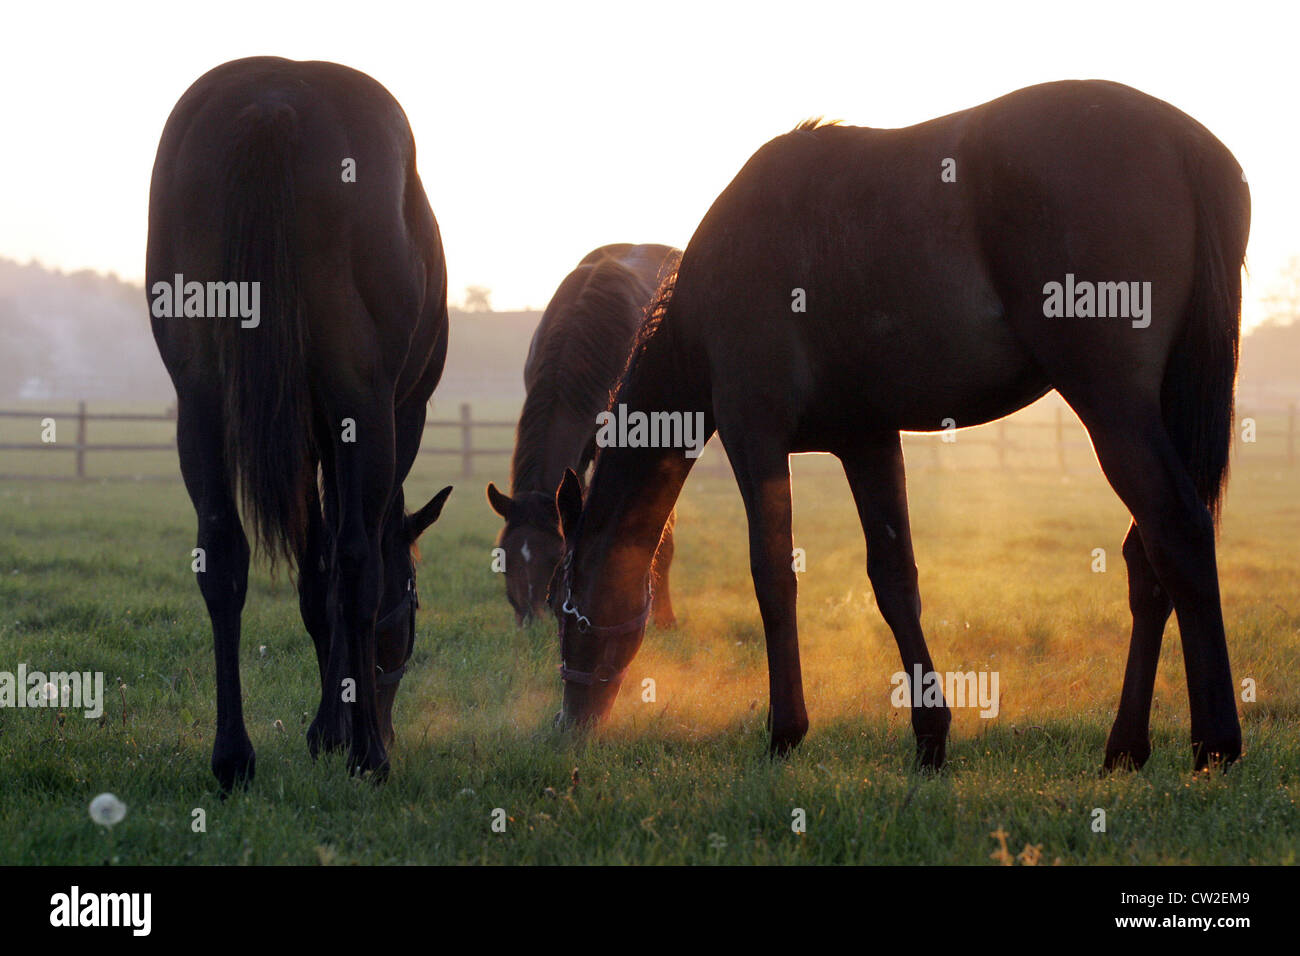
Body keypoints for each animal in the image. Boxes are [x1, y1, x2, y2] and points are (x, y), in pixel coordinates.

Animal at [145, 59, 452, 790]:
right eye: (416, 605)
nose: (389, 721)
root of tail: (273, 99)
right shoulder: (392, 419)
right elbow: (346, 566)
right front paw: (339, 731)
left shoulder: (309, 444)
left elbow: (312, 579)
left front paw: (325, 728)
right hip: (363, 404)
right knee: (357, 563)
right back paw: (369, 756)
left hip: (199, 403)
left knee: (223, 556)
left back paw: (233, 756)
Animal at [548, 78, 1248, 775]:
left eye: (563, 604)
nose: (569, 723)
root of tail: (1179, 139)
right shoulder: (867, 441)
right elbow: (894, 580)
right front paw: (930, 735)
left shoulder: (754, 436)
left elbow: (773, 577)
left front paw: (785, 731)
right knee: (1147, 557)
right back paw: (1126, 747)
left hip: (1111, 401)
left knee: (1177, 529)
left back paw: (1216, 741)